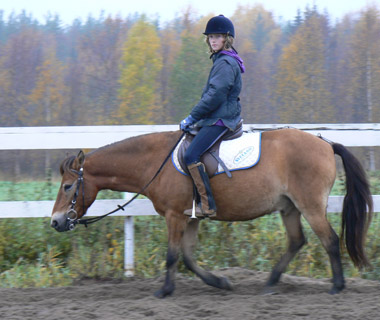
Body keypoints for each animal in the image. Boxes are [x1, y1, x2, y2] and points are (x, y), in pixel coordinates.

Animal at [49, 128, 372, 298]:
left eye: (67, 186)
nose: (55, 222)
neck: (155, 162)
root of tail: (325, 143)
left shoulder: (175, 216)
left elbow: (172, 255)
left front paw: (164, 290)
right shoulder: (190, 217)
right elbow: (188, 258)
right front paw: (220, 282)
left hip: (310, 205)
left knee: (329, 240)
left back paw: (337, 286)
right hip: (289, 206)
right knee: (297, 241)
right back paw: (271, 281)